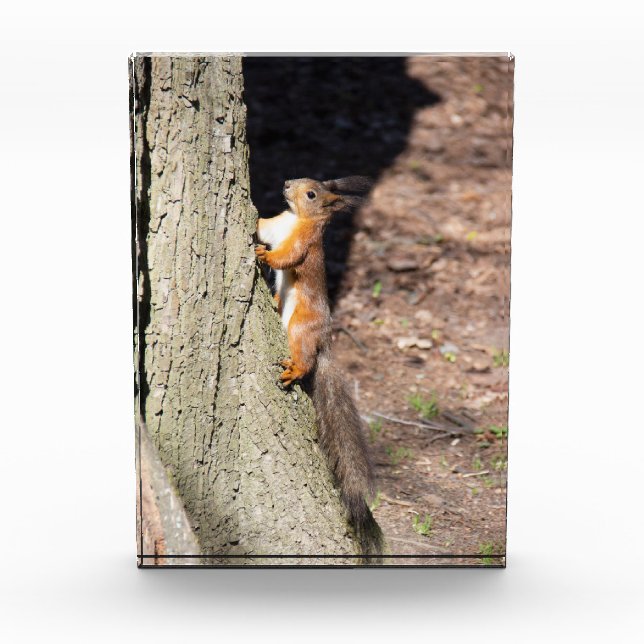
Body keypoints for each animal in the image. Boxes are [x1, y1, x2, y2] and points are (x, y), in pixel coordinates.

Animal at [255, 176, 383, 556]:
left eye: (312, 194)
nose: (286, 184)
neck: (294, 217)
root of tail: (324, 339)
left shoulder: (304, 243)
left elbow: (287, 256)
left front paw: (264, 255)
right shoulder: (274, 226)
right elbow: (262, 227)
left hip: (301, 325)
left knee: (306, 360)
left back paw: (294, 370)